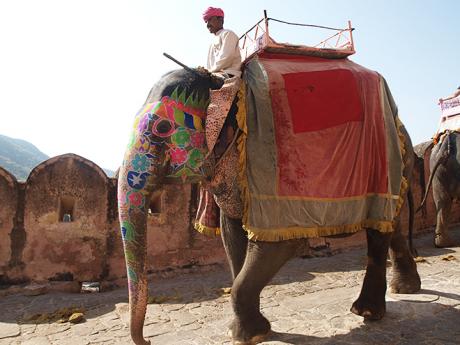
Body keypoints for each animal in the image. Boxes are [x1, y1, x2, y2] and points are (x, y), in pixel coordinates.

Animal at [117, 67, 420, 344]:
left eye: (161, 129)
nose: (148, 341)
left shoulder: (270, 171)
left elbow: (280, 243)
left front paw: (249, 335)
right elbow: (232, 237)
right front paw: (247, 332)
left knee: (379, 233)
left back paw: (366, 312)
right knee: (390, 225)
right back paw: (405, 289)